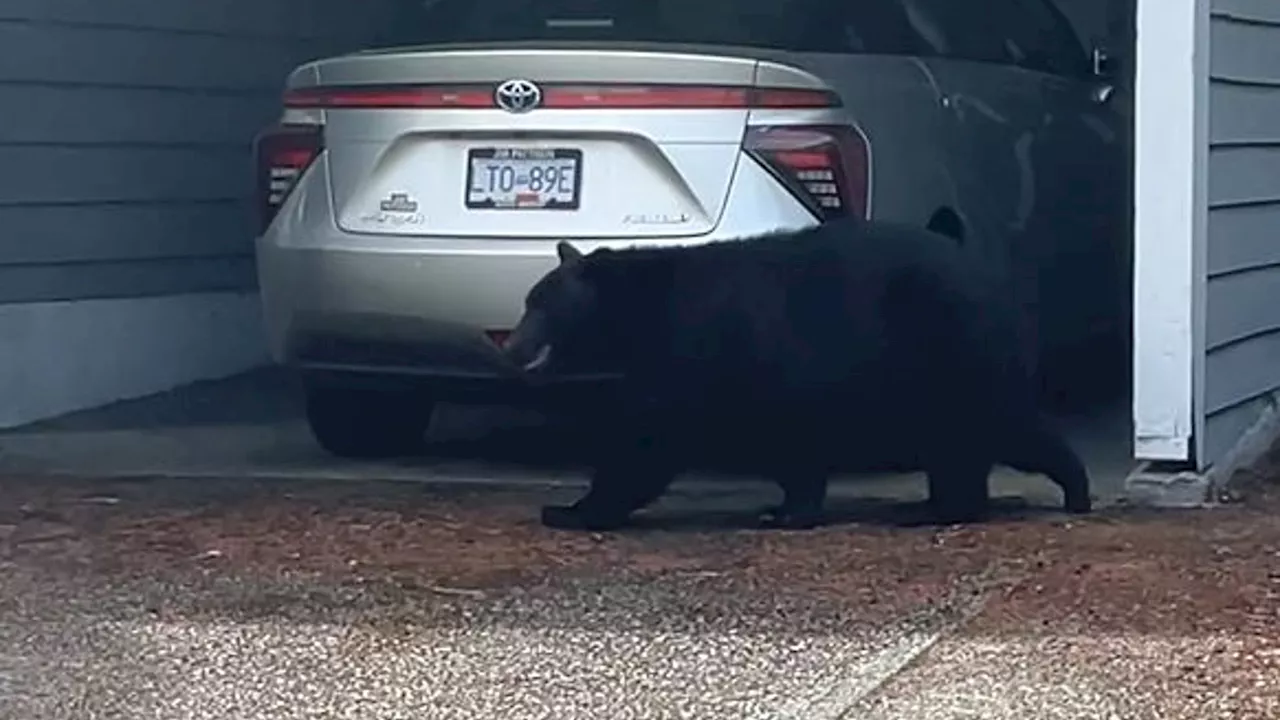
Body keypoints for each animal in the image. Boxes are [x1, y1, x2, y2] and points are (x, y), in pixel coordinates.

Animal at [499, 215, 1090, 530]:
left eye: (538, 304)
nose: (510, 347)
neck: (637, 315)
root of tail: (995, 280)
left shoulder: (697, 354)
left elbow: (647, 442)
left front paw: (573, 509)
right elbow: (790, 451)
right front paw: (786, 508)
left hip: (950, 355)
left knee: (989, 433)